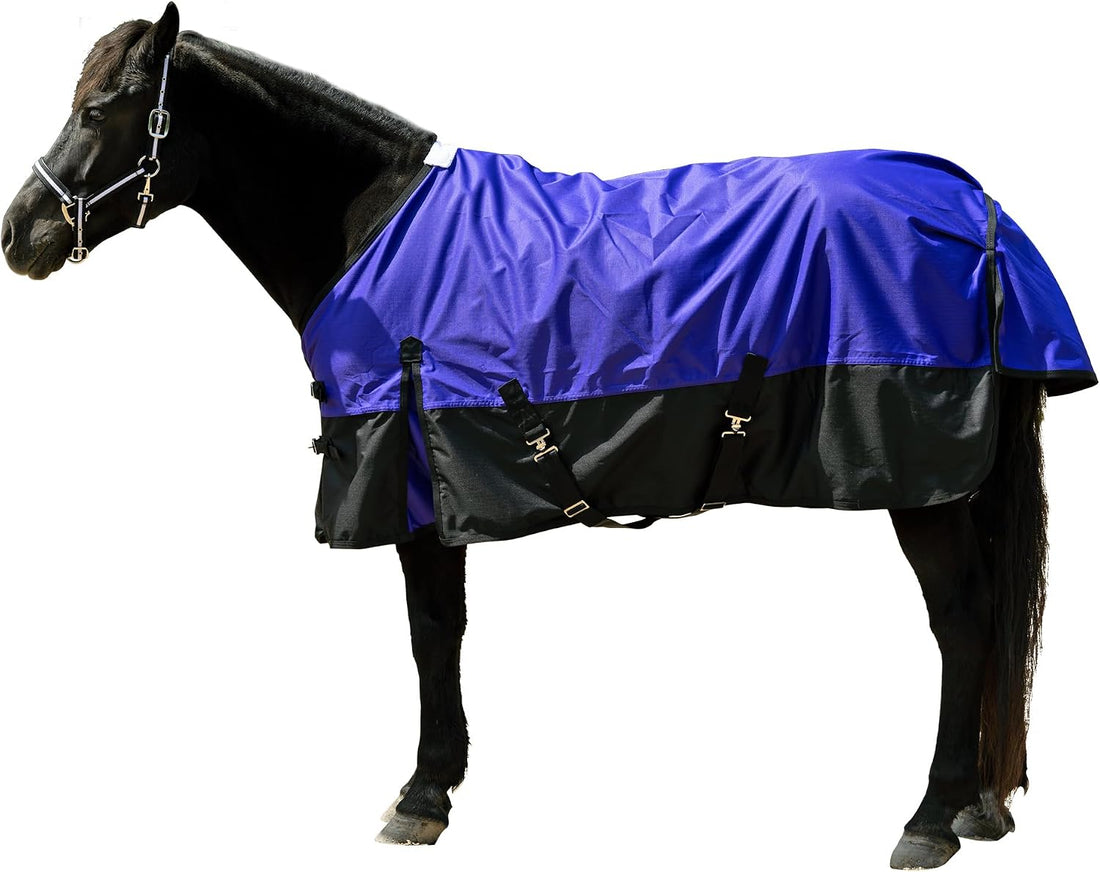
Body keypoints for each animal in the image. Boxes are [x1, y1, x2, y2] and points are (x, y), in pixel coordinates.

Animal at [2, 5, 1095, 868]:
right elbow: (443, 630)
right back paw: (980, 806)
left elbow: (430, 632)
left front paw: (422, 796)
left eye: (100, 110)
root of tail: (978, 211)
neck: (371, 226)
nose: (21, 235)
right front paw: (436, 785)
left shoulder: (411, 479)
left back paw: (930, 818)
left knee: (962, 619)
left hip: (921, 483)